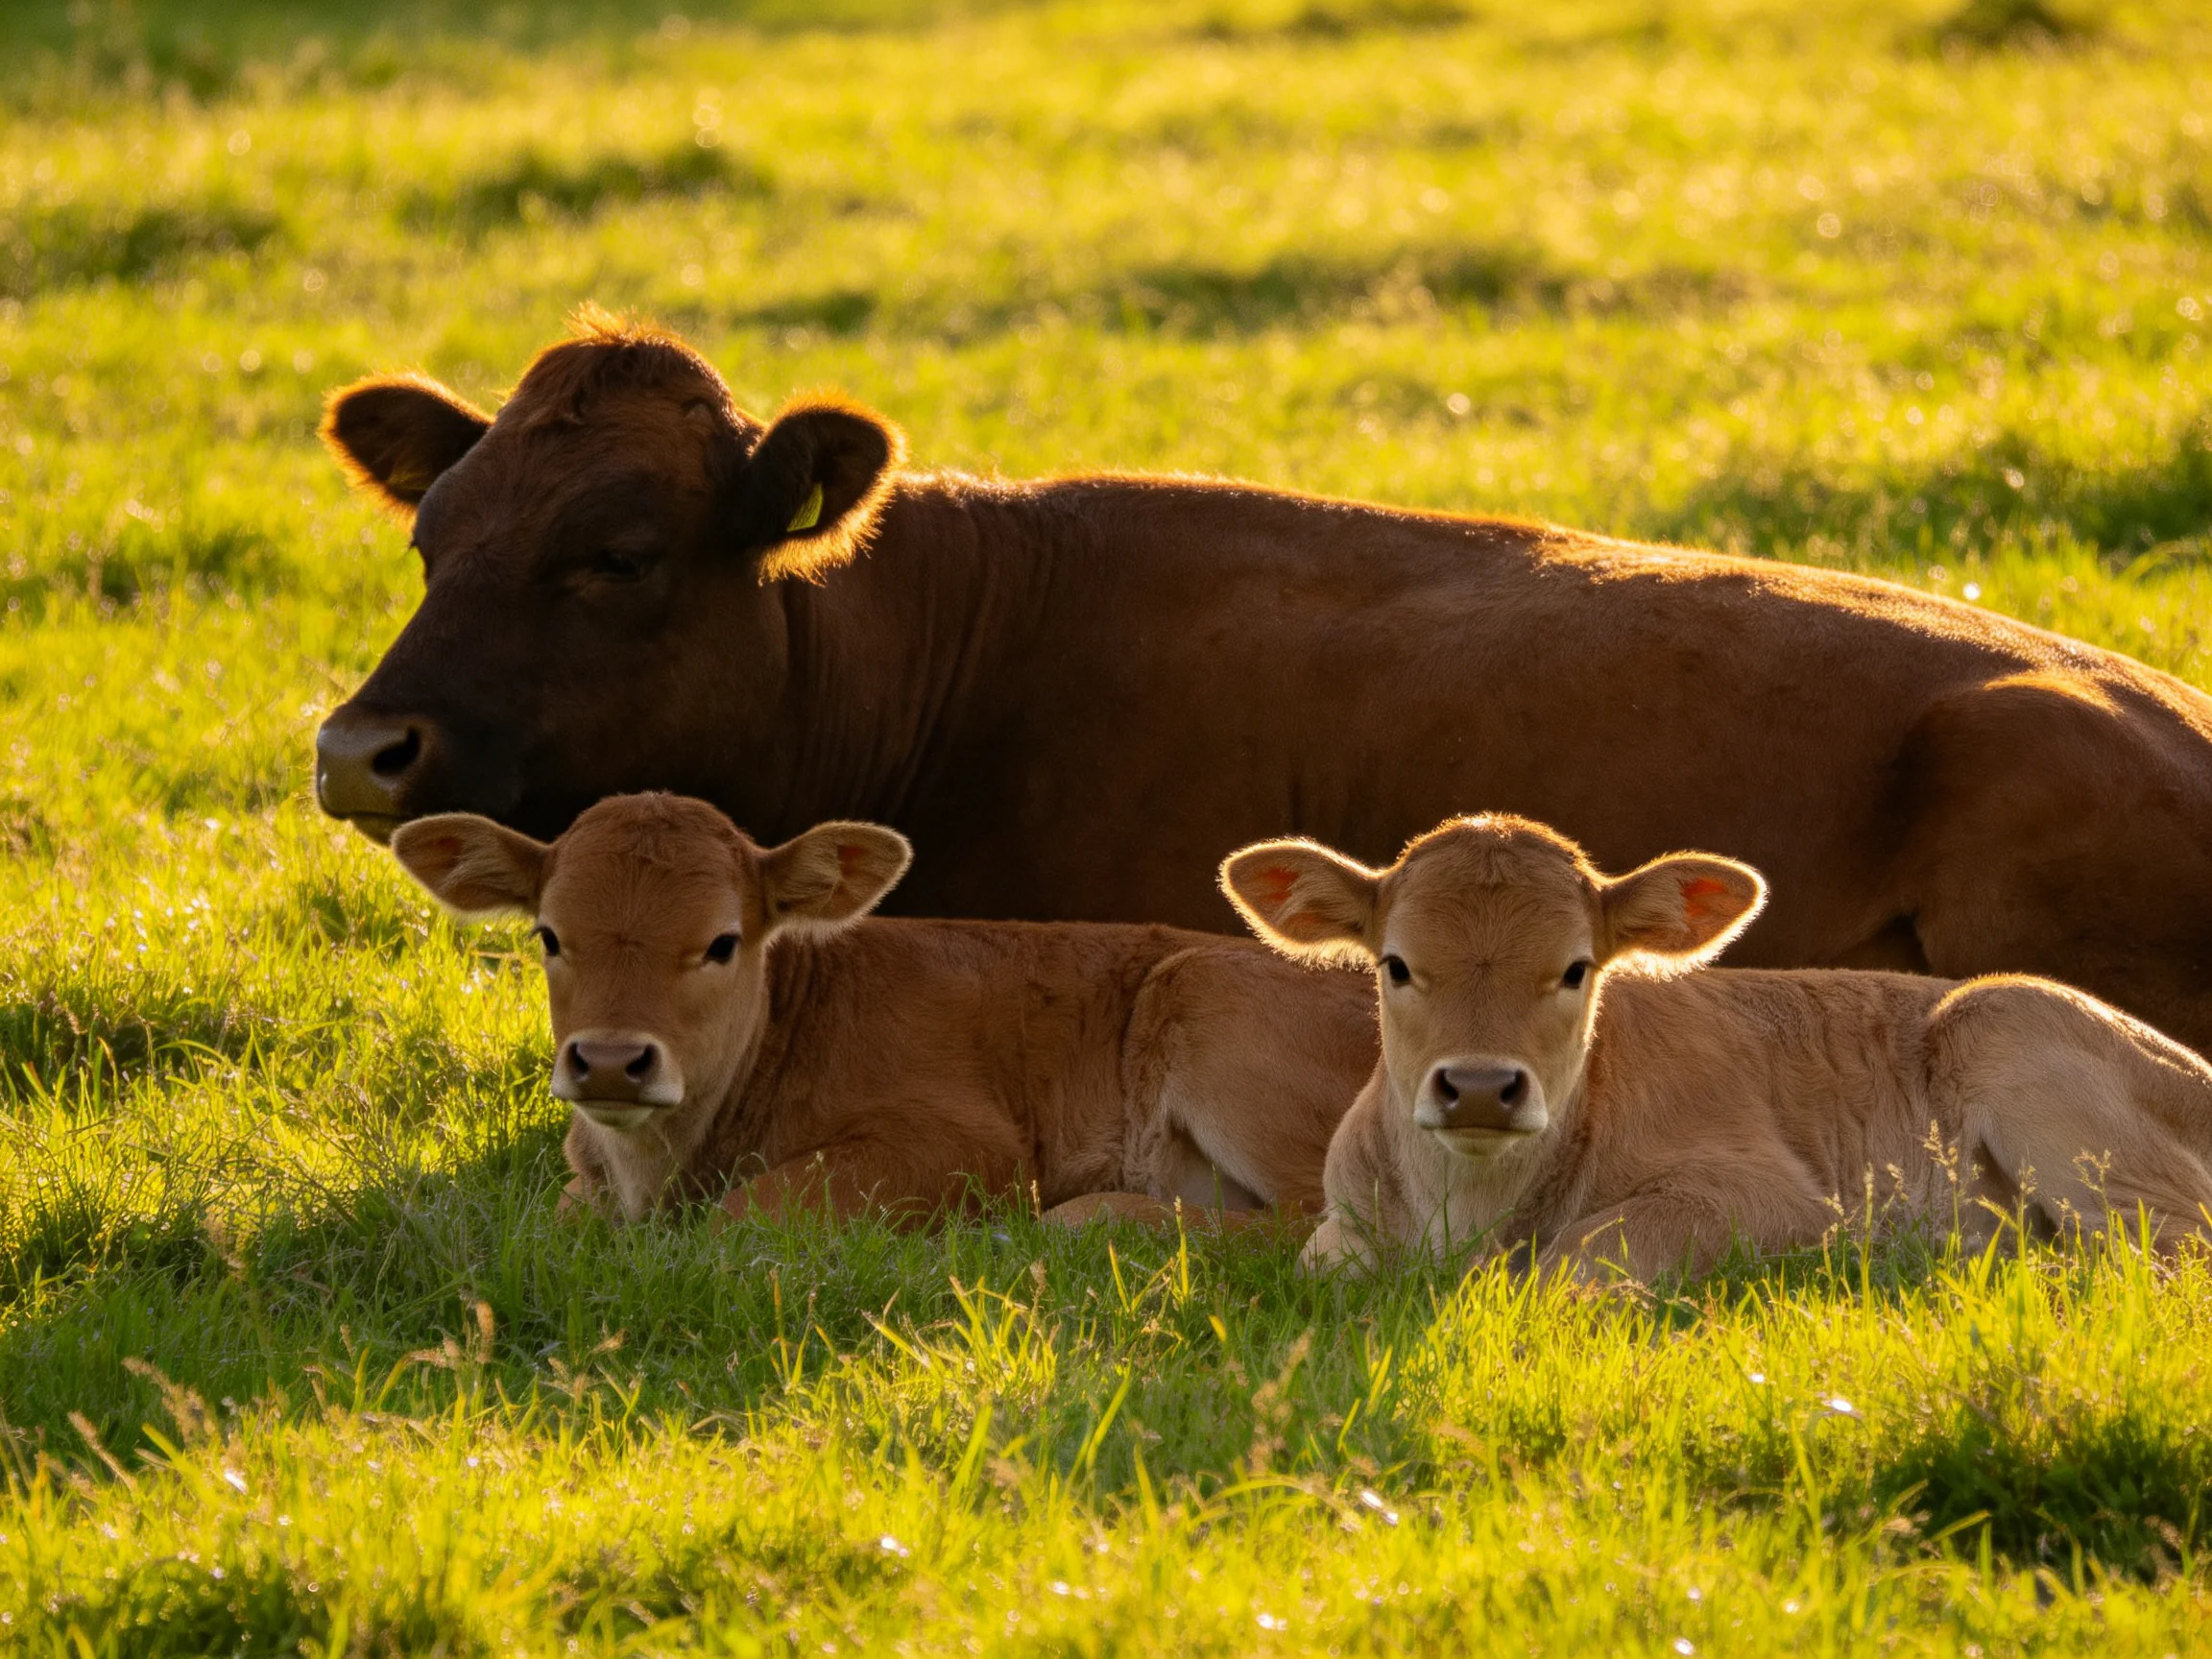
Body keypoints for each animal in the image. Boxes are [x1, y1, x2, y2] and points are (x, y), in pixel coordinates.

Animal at [388, 792, 1376, 1225]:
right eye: (550, 935)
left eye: (722, 941)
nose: (608, 1062)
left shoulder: (969, 1144)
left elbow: (753, 1210)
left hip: (1203, 999)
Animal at [1222, 816, 2212, 1281]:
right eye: (1396, 965)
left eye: (1576, 969)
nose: (1476, 1088)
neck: (1468, 1215)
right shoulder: (1343, 1226)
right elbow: (1324, 1263)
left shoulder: (1772, 1197)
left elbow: (1584, 1255)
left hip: (2011, 1034)